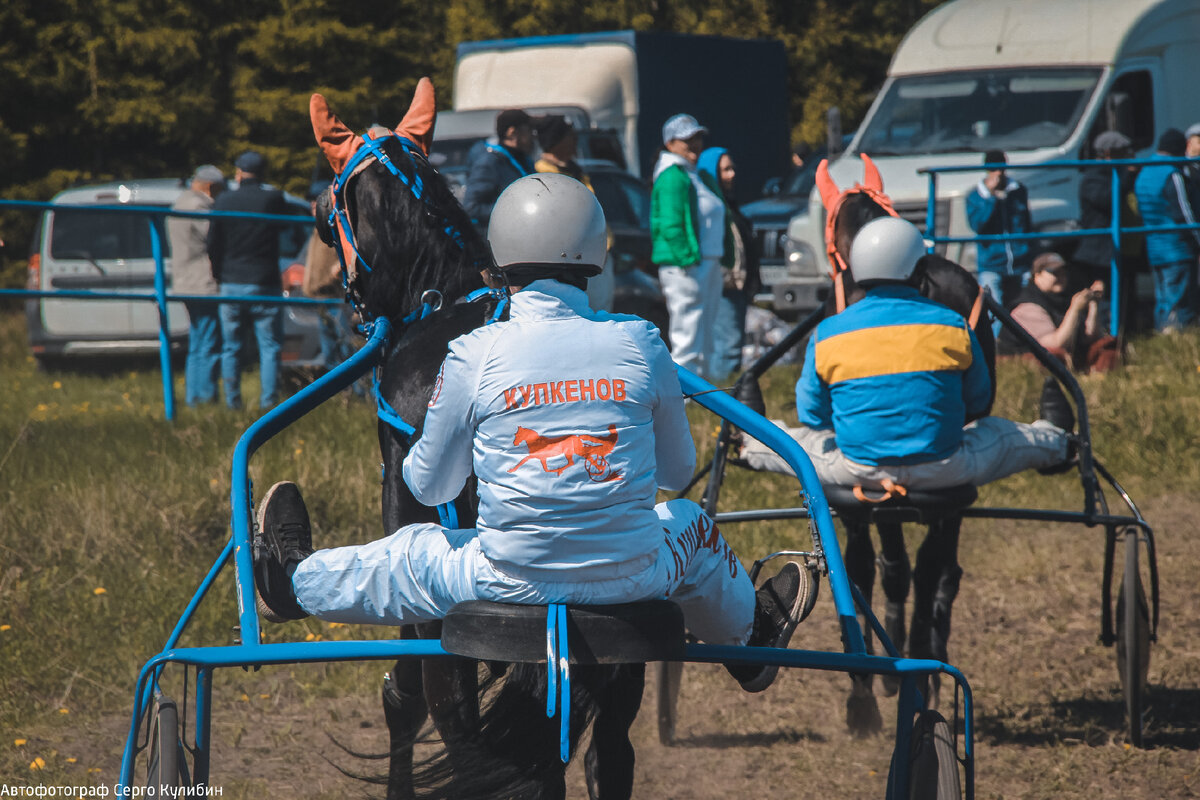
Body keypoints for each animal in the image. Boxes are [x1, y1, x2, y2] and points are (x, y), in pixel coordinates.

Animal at [816, 158, 993, 738]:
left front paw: (869, 689)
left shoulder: (861, 495)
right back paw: (928, 664)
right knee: (938, 567)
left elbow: (868, 568)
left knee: (894, 565)